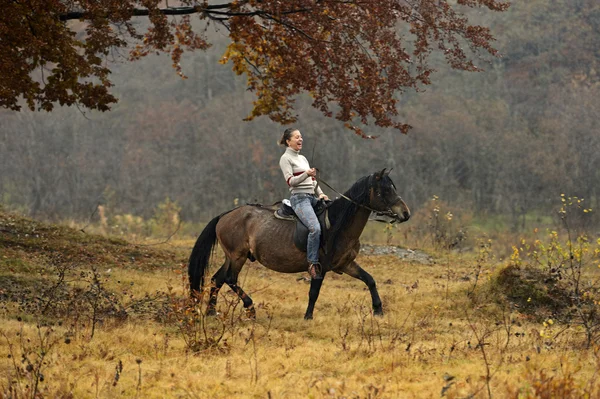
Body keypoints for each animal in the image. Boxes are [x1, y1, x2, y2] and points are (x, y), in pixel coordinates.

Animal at [190, 168, 410, 318]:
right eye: (384, 191)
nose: (405, 213)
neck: (337, 225)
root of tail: (225, 215)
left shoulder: (345, 264)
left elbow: (370, 280)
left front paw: (378, 310)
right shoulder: (320, 266)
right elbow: (314, 292)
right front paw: (308, 316)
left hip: (231, 256)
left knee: (217, 279)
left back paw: (211, 312)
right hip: (238, 256)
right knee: (230, 279)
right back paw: (250, 308)